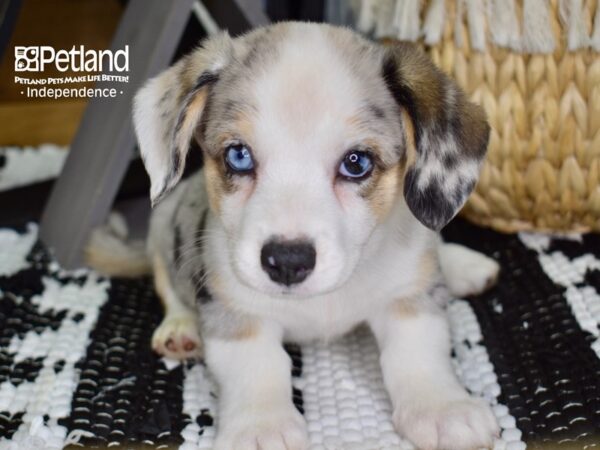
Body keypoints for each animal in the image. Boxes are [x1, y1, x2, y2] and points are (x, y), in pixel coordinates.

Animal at [126, 22, 502, 450]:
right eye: (239, 156)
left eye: (356, 162)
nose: (288, 262)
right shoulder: (238, 310)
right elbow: (256, 365)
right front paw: (261, 427)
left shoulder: (408, 297)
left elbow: (419, 352)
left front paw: (443, 408)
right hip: (162, 228)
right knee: (167, 284)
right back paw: (180, 329)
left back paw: (465, 266)